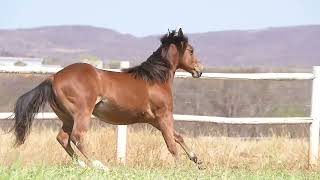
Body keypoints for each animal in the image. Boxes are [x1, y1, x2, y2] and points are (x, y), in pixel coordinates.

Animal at [11, 28, 205, 170]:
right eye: (191, 50)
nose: (199, 70)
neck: (154, 79)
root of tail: (53, 77)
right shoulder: (163, 115)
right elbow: (171, 143)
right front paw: (180, 167)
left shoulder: (154, 119)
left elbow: (177, 137)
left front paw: (197, 159)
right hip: (82, 113)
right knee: (77, 137)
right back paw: (99, 166)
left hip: (67, 117)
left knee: (63, 138)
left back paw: (82, 165)